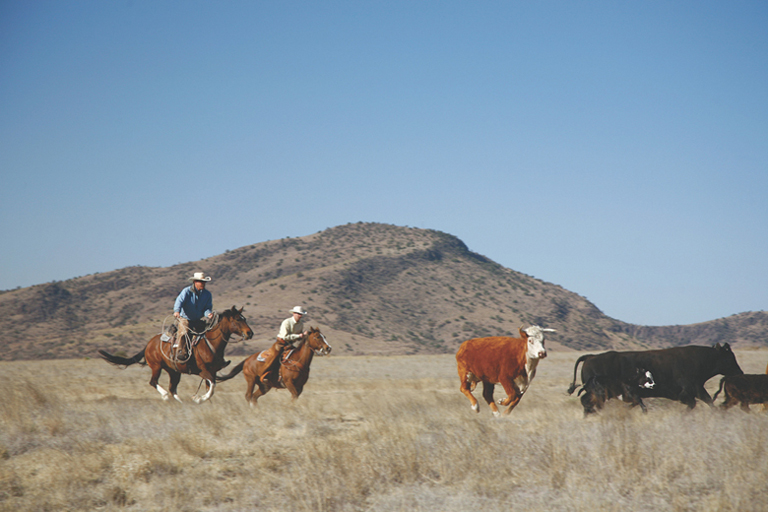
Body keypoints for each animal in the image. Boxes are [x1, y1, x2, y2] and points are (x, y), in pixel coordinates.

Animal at [97, 306, 255, 402]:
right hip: (156, 366)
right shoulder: (203, 371)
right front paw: (198, 399)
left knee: (172, 388)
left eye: (245, 318)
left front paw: (202, 400)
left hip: (174, 371)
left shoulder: (213, 371)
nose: (250, 333)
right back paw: (166, 396)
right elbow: (212, 386)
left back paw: (180, 402)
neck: (210, 344)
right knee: (154, 382)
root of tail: (149, 343)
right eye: (238, 319)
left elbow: (211, 388)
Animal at [568, 342, 740, 410]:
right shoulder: (692, 390)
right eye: (730, 357)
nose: (739, 372)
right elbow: (703, 402)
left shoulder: (695, 391)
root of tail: (590, 357)